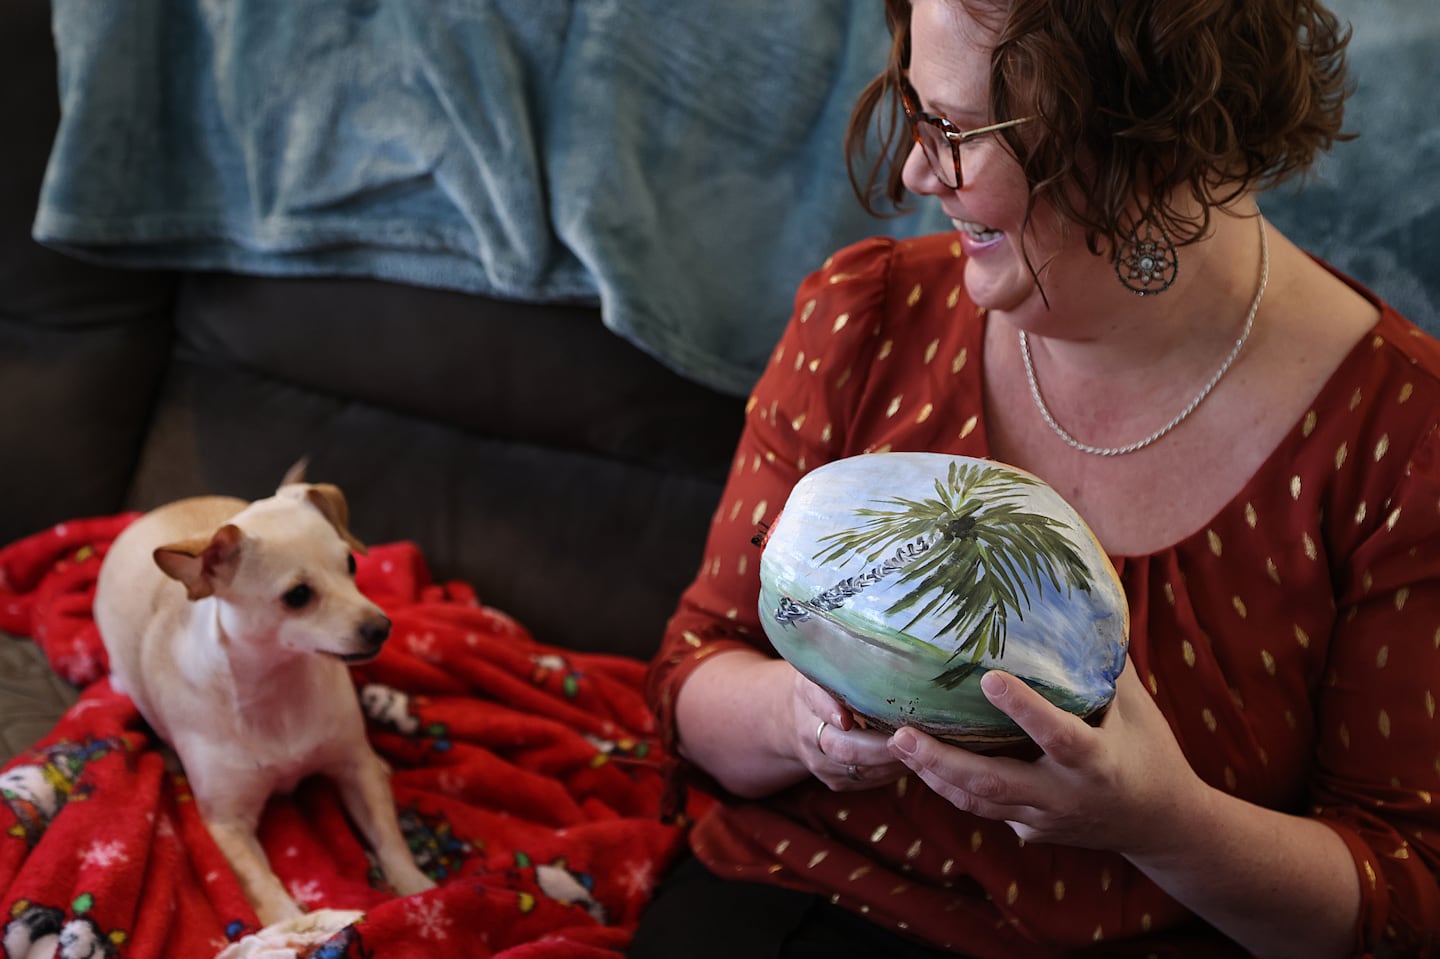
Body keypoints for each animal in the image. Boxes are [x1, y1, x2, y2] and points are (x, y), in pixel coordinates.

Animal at [94, 466, 432, 921]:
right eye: (298, 596)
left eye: (350, 564)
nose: (381, 628)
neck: (278, 686)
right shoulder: (227, 825)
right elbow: (262, 884)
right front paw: (298, 926)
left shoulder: (354, 770)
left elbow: (388, 836)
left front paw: (418, 890)